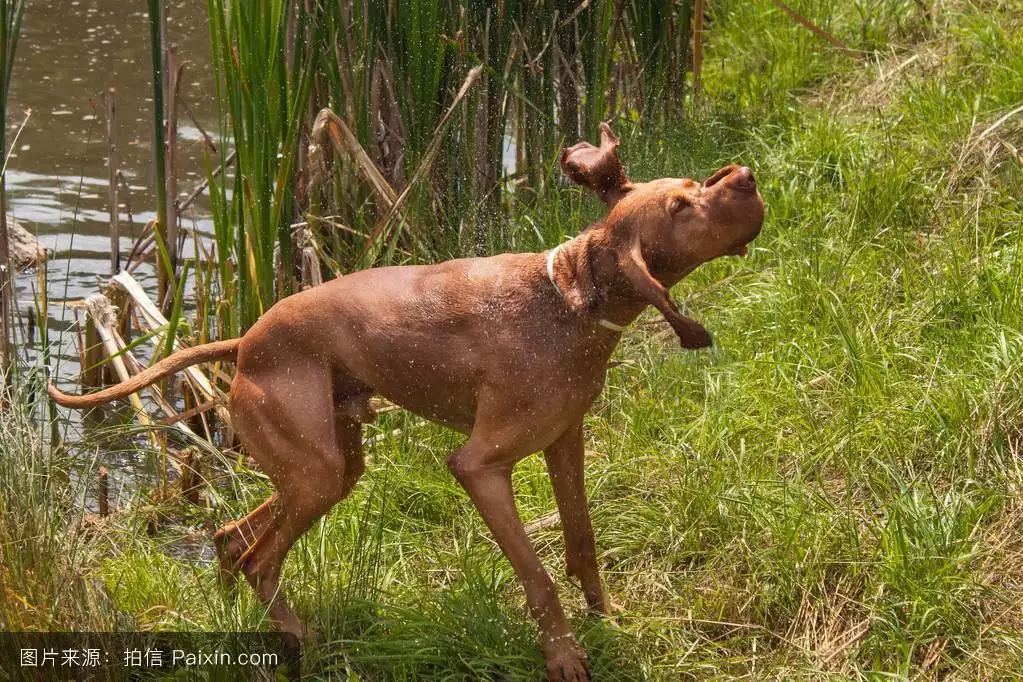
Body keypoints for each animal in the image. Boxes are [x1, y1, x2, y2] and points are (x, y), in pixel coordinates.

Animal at [51, 124, 765, 682]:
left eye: (693, 186)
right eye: (681, 206)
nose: (745, 175)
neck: (570, 297)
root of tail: (245, 342)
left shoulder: (567, 441)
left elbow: (582, 542)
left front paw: (605, 621)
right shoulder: (480, 466)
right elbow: (537, 576)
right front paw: (564, 656)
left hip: (330, 467)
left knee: (231, 540)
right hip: (317, 474)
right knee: (259, 561)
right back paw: (302, 639)